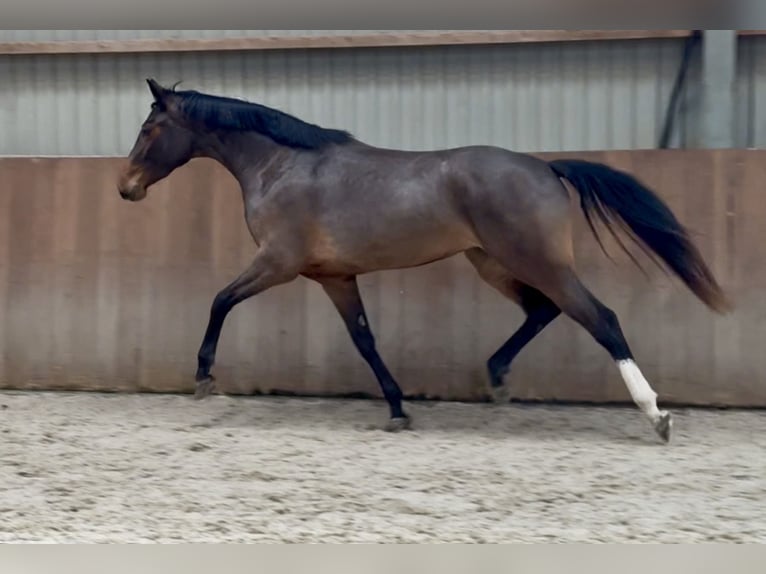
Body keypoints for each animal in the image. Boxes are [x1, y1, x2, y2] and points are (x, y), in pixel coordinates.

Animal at [117, 78, 732, 443]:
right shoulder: (334, 276)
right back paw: (497, 379)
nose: (126, 188)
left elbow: (220, 300)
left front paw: (203, 376)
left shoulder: (277, 263)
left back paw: (656, 414)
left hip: (537, 261)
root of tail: (546, 167)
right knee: (543, 312)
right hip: (493, 262)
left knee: (600, 319)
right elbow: (365, 341)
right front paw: (397, 409)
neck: (282, 166)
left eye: (149, 128)